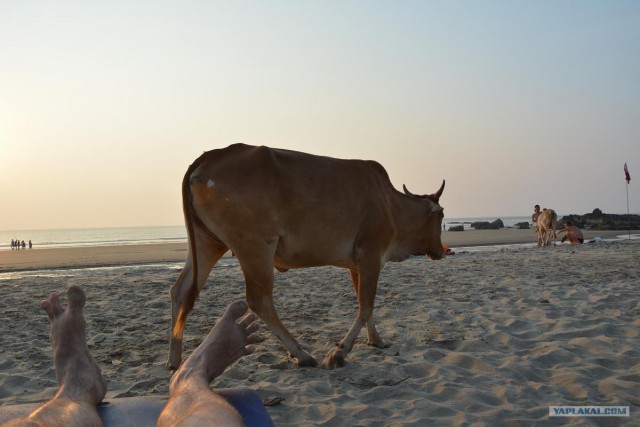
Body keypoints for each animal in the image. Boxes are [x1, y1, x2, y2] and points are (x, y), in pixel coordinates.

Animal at [169, 145, 444, 372]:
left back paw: (175, 360)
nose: (442, 251)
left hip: (207, 244)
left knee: (180, 290)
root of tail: (212, 155)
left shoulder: (357, 265)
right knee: (259, 300)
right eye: (441, 216)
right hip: (255, 247)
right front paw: (338, 353)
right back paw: (301, 353)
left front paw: (376, 340)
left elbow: (363, 304)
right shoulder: (371, 255)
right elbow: (366, 306)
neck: (392, 205)